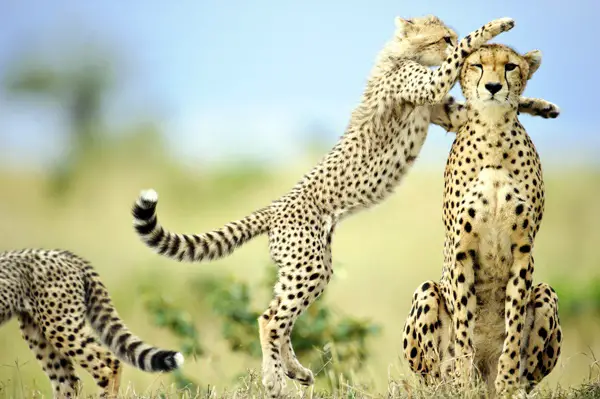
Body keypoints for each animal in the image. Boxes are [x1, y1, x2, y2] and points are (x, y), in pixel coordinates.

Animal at [129, 14, 524, 396]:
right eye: (444, 37)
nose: (450, 42)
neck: (399, 53)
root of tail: (276, 206)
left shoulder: (444, 111)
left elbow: (475, 110)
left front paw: (527, 101)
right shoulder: (424, 86)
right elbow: (458, 61)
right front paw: (496, 26)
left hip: (304, 266)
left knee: (277, 315)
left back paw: (295, 370)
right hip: (310, 265)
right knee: (270, 319)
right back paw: (275, 381)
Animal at [404, 44, 564, 396]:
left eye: (510, 66)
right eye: (477, 65)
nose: (492, 87)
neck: (493, 134)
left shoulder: (523, 249)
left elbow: (514, 324)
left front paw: (507, 383)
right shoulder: (462, 250)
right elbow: (464, 324)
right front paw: (464, 381)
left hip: (546, 293)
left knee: (530, 370)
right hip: (426, 293)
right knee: (434, 375)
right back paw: (453, 384)